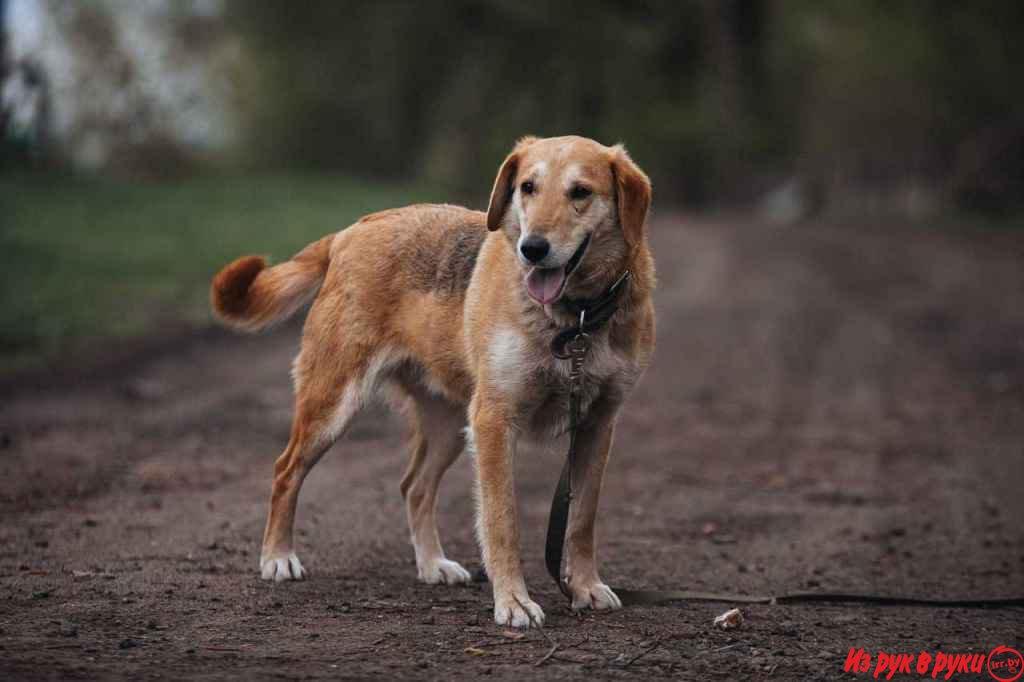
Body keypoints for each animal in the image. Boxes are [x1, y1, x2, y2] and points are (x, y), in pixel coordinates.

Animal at [209, 134, 655, 626]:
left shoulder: (597, 425)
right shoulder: (495, 422)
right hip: (333, 405)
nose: (532, 248)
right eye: (527, 188)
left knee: (415, 486)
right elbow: (502, 521)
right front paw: (513, 600)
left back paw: (432, 564)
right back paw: (278, 557)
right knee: (286, 470)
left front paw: (585, 586)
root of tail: (352, 231)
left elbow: (582, 521)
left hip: (449, 425)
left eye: (580, 192)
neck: (575, 320)